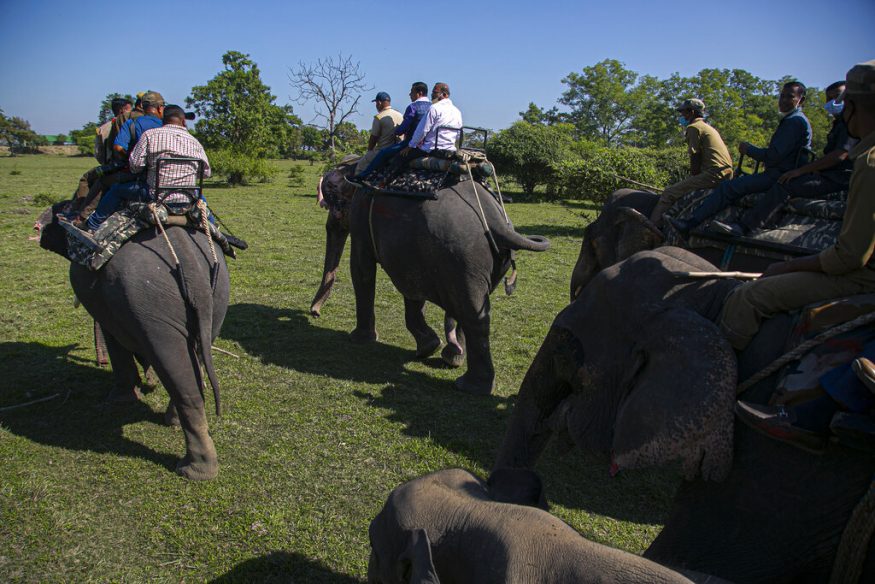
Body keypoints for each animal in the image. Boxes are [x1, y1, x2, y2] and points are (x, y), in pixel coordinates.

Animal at [42, 219, 228, 480]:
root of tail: (188, 261)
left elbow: (114, 341)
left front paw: (120, 400)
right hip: (217, 295)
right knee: (195, 359)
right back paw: (175, 426)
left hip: (149, 303)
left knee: (180, 374)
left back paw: (193, 471)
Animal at [348, 176, 548, 394]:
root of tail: (497, 221)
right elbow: (412, 290)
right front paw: (429, 347)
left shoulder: (360, 219)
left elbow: (361, 271)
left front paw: (360, 339)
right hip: (486, 262)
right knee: (473, 309)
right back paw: (454, 360)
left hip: (461, 256)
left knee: (471, 313)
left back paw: (468, 384)